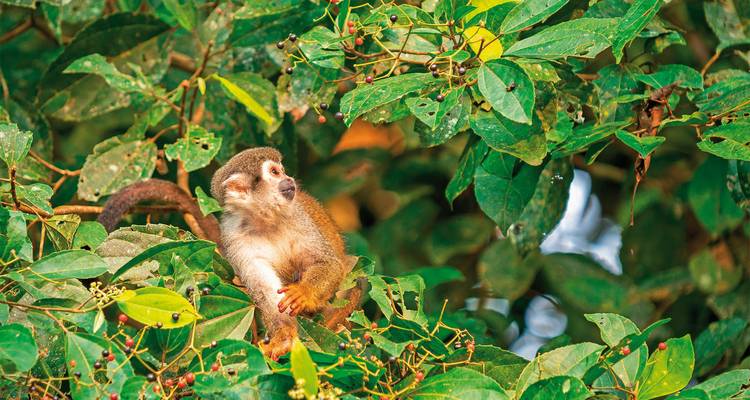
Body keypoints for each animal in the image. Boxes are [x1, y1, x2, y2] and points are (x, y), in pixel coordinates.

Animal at [209, 147, 351, 358]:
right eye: (275, 172)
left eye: (282, 171)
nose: (289, 178)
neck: (264, 220)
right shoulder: (235, 238)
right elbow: (263, 288)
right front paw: (283, 337)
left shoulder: (299, 217)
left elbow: (328, 263)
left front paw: (303, 292)